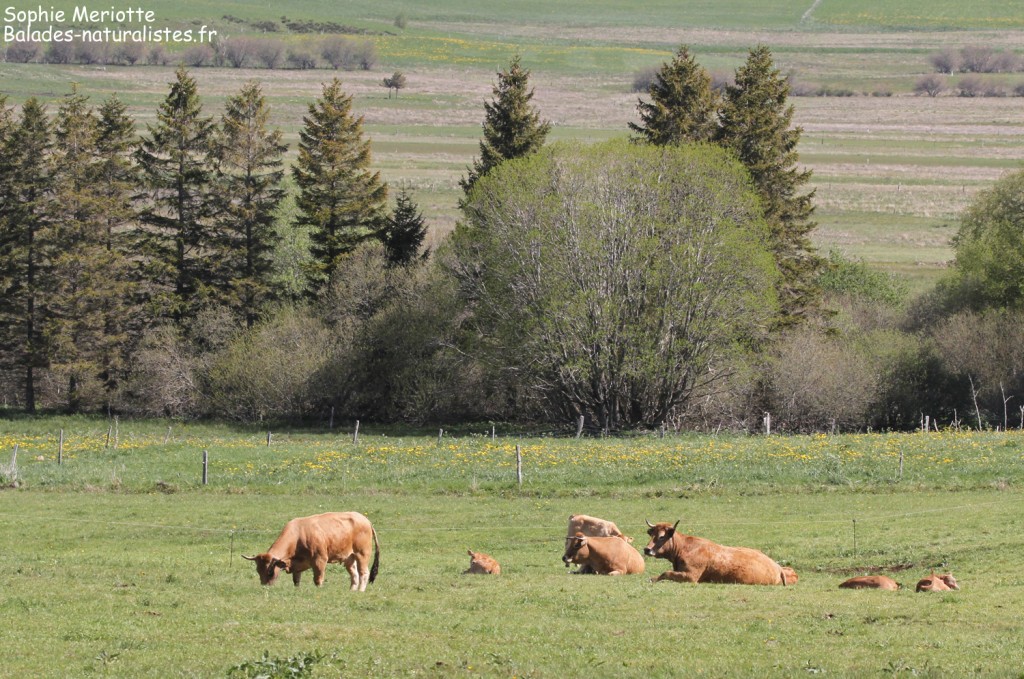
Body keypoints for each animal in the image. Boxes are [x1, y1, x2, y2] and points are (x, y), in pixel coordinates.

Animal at [243, 511, 380, 591]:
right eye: (258, 571)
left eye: (270, 572)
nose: (265, 588)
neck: (299, 535)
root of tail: (365, 520)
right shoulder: (296, 565)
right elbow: (296, 580)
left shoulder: (320, 560)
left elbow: (318, 579)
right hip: (349, 557)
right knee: (354, 574)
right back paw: (352, 590)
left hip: (362, 554)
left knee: (364, 573)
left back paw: (361, 591)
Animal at [643, 520, 793, 586]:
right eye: (652, 534)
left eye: (662, 536)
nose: (646, 549)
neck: (685, 547)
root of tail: (777, 566)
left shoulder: (691, 576)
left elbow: (666, 573)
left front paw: (653, 579)